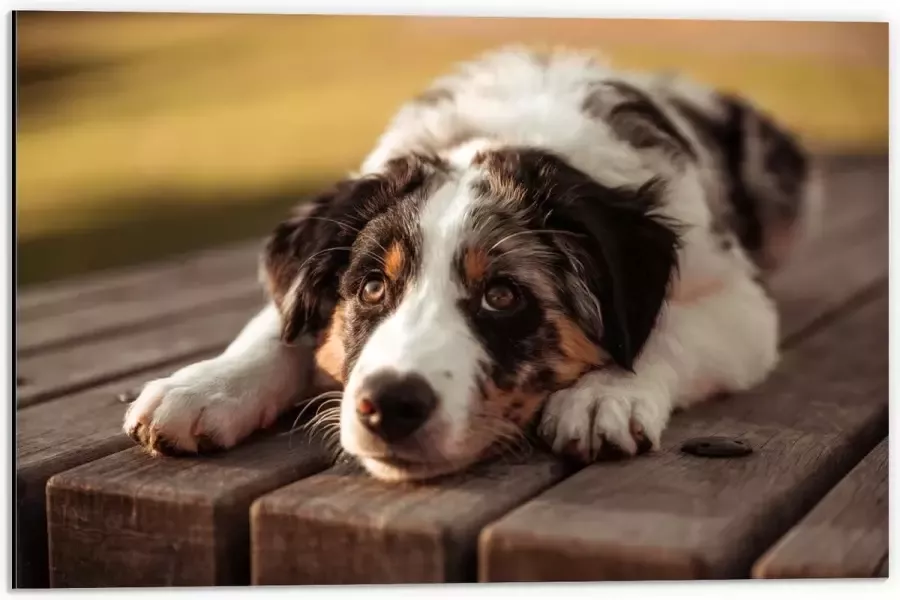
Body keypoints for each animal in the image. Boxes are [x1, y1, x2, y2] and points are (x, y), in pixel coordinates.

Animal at [125, 49, 824, 486]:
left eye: (504, 296)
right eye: (372, 287)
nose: (388, 406)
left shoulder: (740, 303)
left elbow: (667, 329)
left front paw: (605, 394)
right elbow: (276, 325)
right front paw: (203, 388)